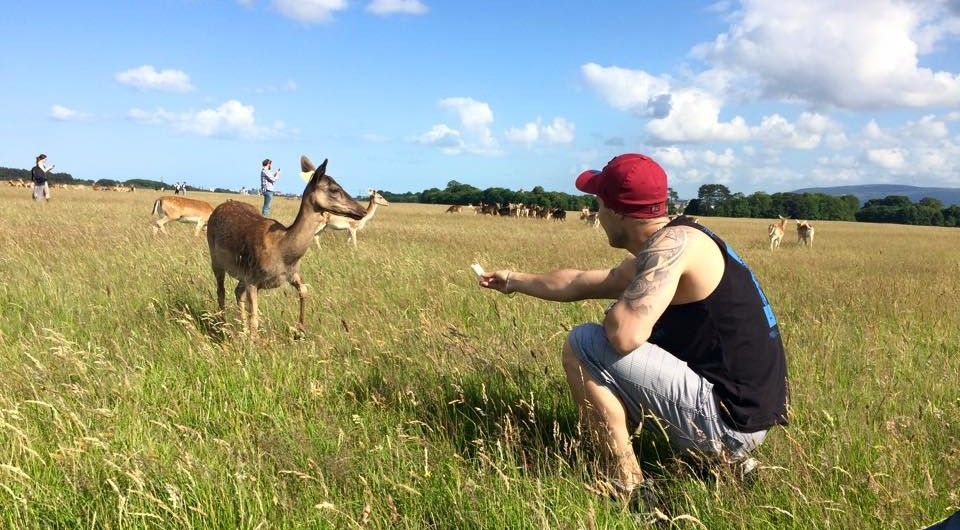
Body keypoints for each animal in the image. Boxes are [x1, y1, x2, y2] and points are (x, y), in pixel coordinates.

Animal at [204, 155, 366, 336]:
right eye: (334, 189)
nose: (363, 210)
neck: (283, 251)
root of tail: (219, 207)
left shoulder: (290, 273)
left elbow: (304, 290)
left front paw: (300, 329)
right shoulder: (252, 278)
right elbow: (255, 320)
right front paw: (253, 339)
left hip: (240, 272)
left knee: (237, 292)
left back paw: (242, 330)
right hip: (216, 259)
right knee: (221, 290)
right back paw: (222, 325)